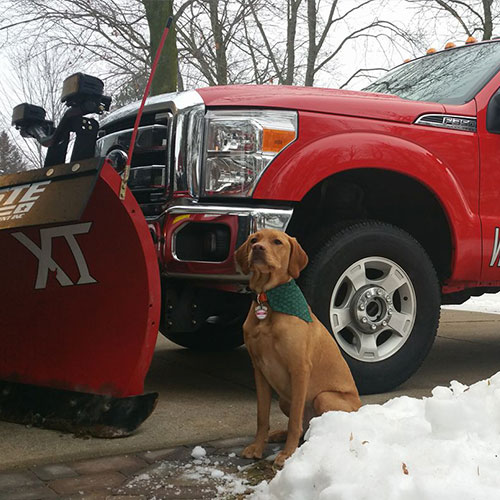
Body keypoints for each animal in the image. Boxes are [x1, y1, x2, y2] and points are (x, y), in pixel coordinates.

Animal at [234, 229, 360, 466]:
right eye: (254, 239)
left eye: (277, 242)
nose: (257, 248)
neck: (268, 298)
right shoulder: (259, 370)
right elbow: (262, 416)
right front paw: (257, 447)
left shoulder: (299, 368)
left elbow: (294, 420)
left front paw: (288, 454)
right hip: (284, 399)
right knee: (303, 427)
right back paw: (278, 435)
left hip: (323, 397)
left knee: (310, 424)